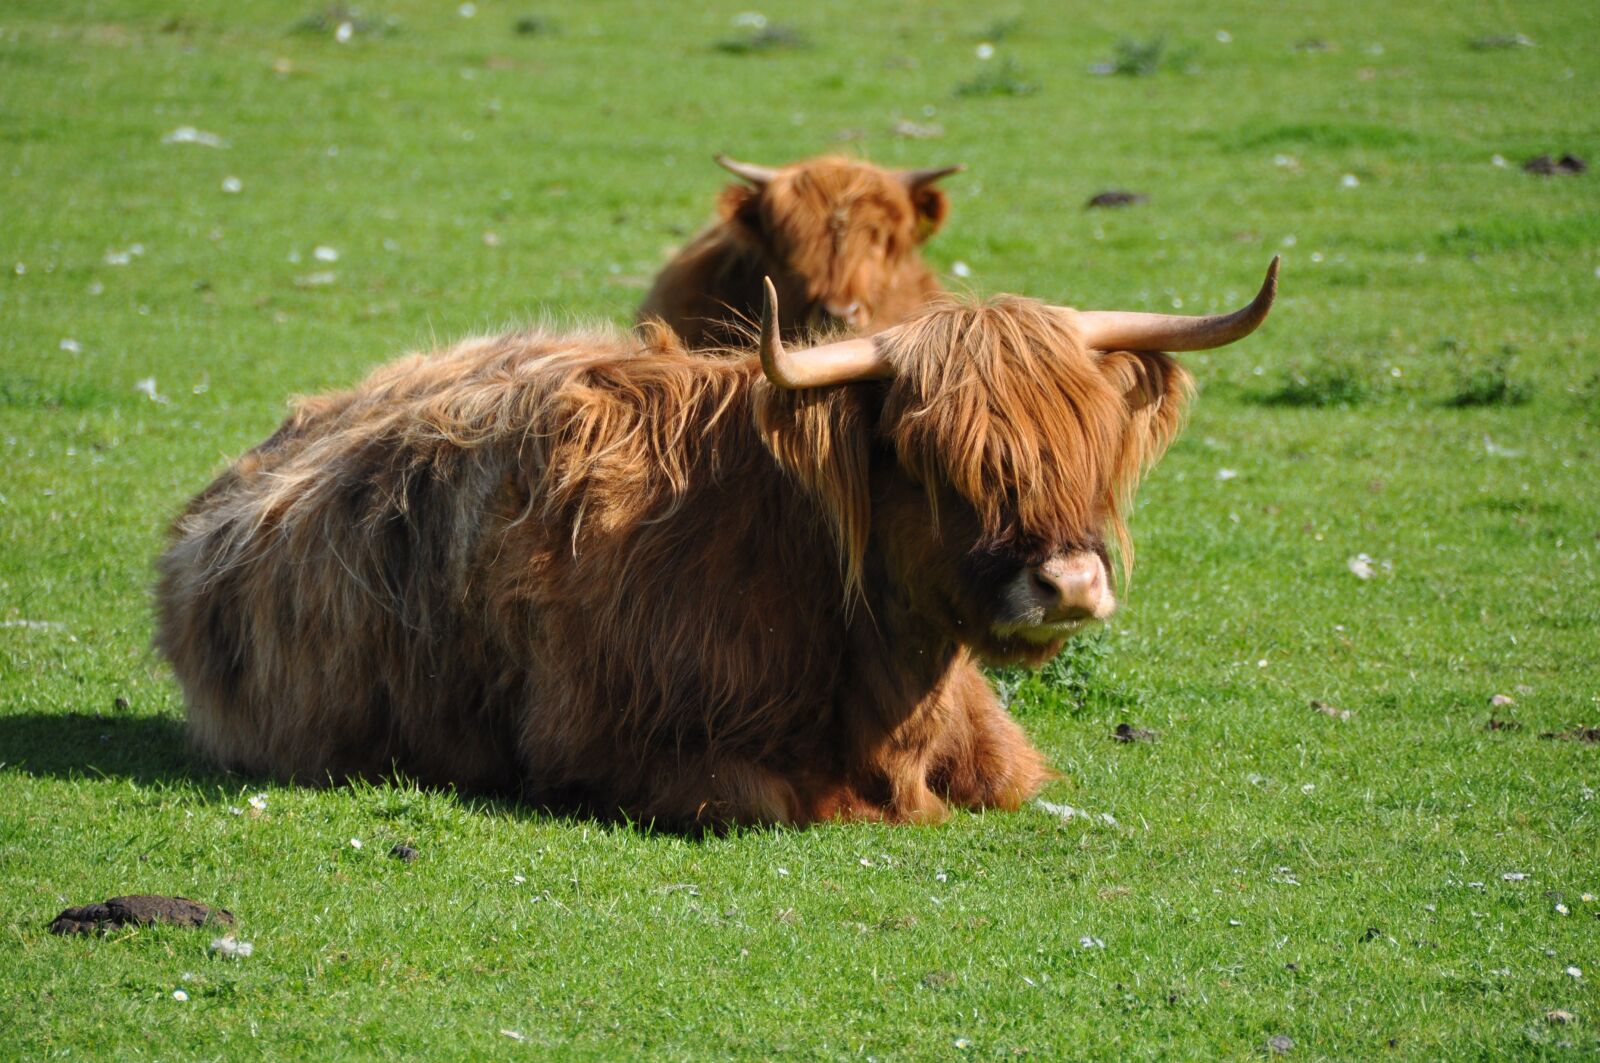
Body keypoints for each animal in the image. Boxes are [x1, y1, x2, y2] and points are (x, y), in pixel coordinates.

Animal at [156, 258, 1279, 830]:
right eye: (926, 456)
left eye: (1089, 442)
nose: (1070, 581)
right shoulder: (604, 746)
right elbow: (773, 798)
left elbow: (1012, 775)